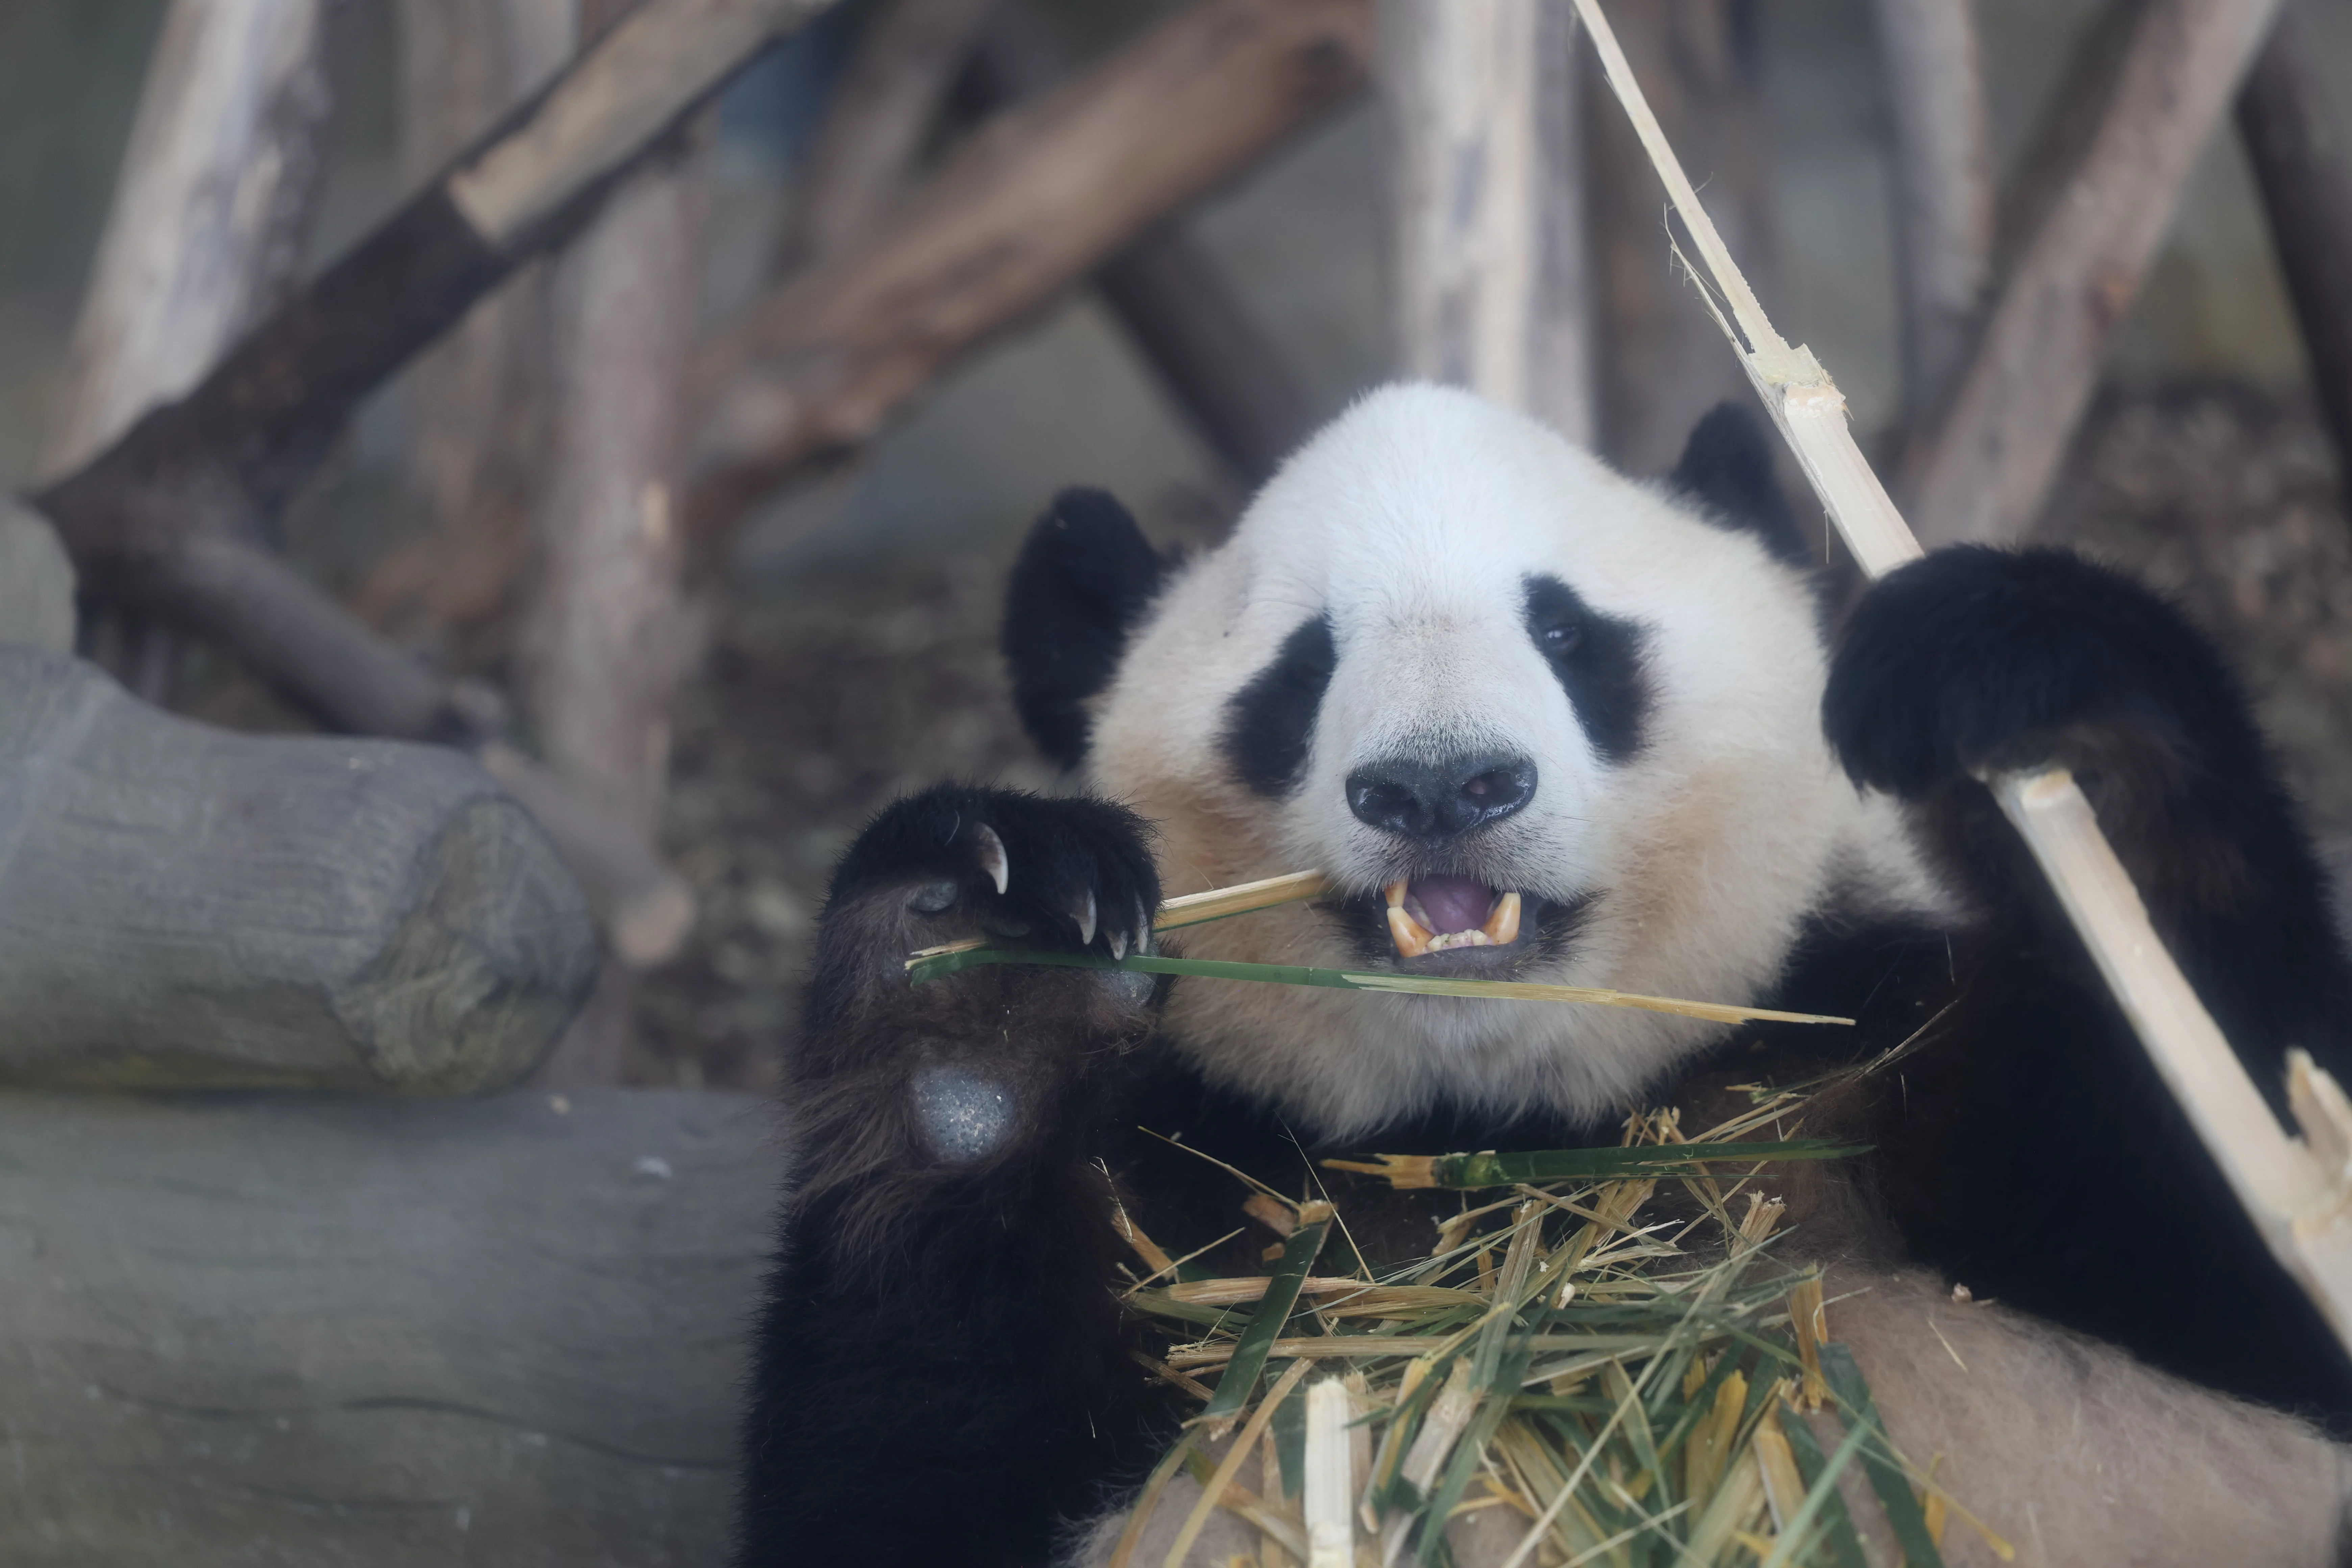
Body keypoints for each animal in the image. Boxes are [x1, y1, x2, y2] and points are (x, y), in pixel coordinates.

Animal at [736, 384, 2352, 1566]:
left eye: (1569, 632)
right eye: (1300, 670)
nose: (1442, 784)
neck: (1511, 1141)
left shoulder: (1862, 1057)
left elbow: (2253, 1251)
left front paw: (2054, 723)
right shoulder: (1201, 1196)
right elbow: (908, 1494)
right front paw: (980, 965)